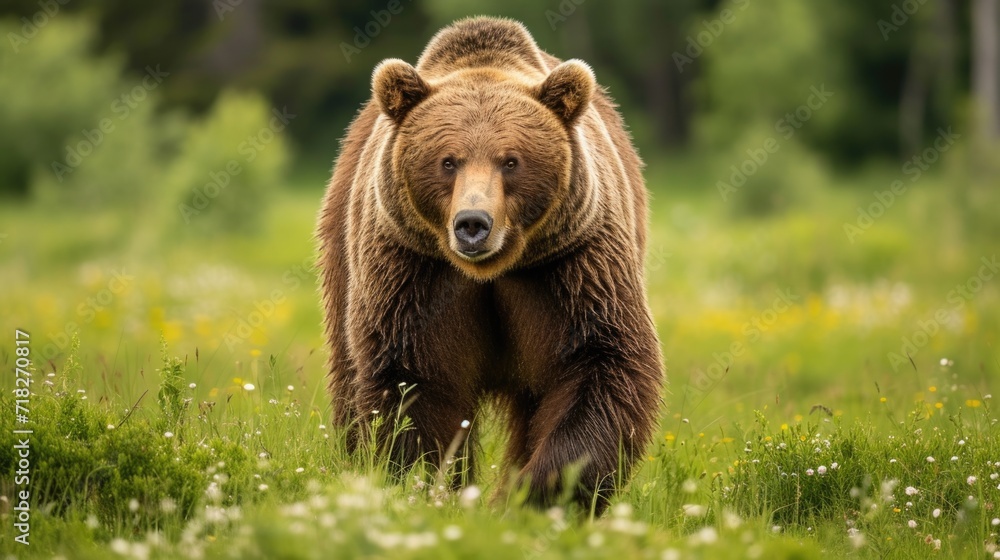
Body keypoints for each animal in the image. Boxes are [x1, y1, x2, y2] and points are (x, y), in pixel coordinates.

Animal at [316, 16, 663, 513]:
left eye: (511, 161)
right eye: (447, 161)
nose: (473, 224)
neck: (492, 271)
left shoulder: (572, 264)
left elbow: (601, 360)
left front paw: (536, 491)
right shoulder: (413, 271)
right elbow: (412, 380)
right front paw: (429, 484)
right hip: (344, 250)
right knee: (349, 373)